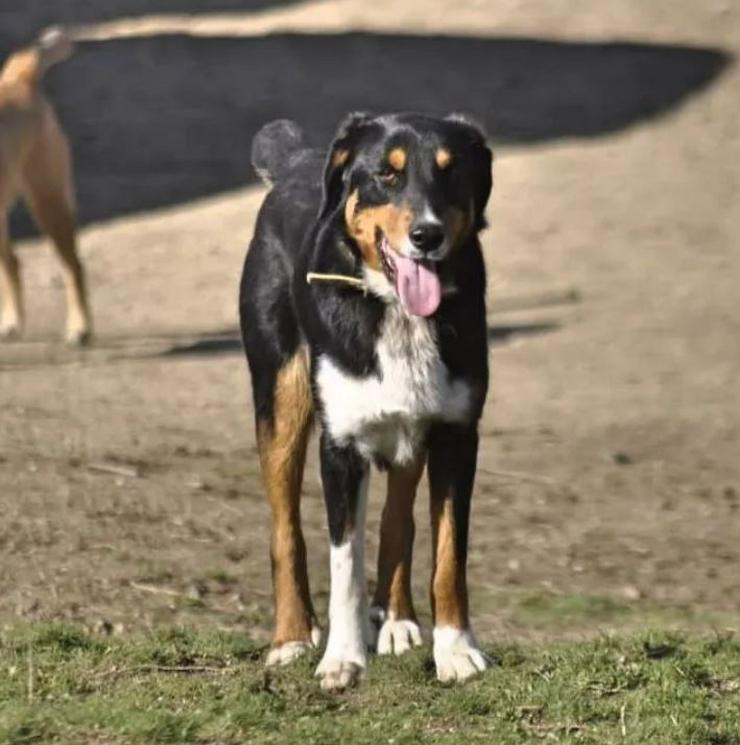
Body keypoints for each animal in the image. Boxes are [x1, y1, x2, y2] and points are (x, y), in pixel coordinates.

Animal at [240, 113, 494, 688]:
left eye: (450, 171)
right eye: (387, 174)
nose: (427, 235)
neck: (397, 312)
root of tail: (297, 160)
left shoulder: (455, 435)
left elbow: (448, 555)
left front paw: (455, 650)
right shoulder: (341, 446)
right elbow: (344, 565)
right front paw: (343, 657)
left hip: (410, 431)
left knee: (398, 519)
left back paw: (396, 619)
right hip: (282, 401)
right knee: (285, 529)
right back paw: (291, 636)